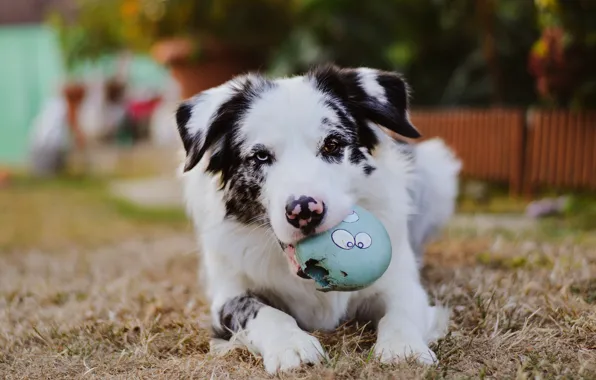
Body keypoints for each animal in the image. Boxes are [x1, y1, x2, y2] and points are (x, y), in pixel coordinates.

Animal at [176, 65, 460, 374]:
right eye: (260, 156)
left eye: (332, 145)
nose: (304, 210)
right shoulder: (226, 296)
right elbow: (264, 312)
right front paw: (292, 345)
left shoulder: (402, 283)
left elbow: (400, 312)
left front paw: (403, 349)